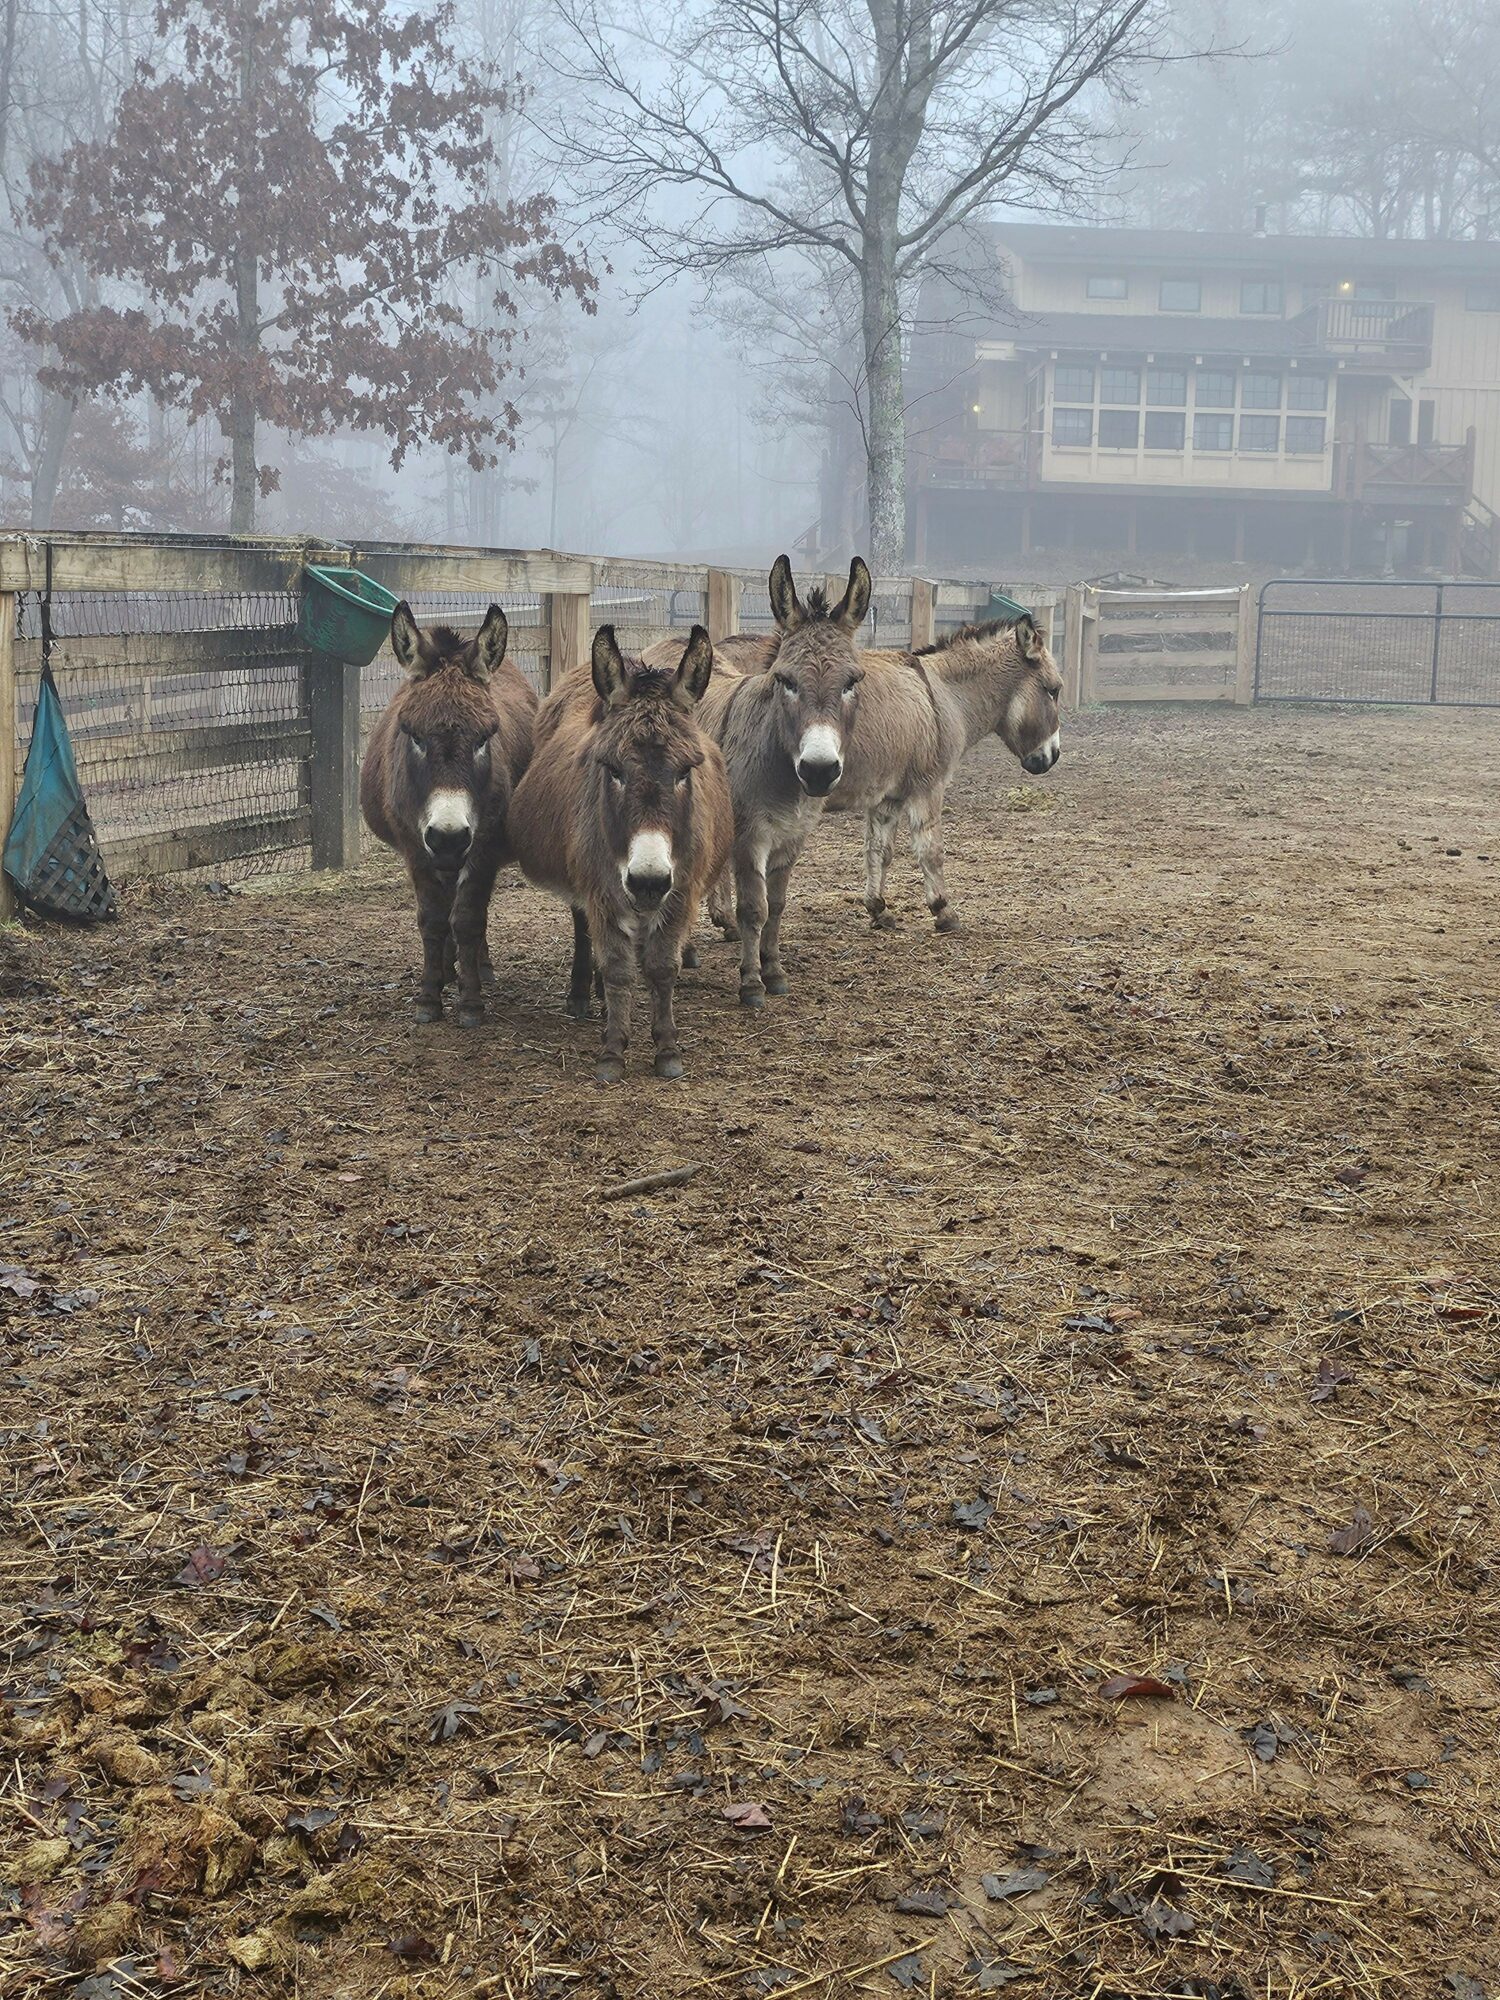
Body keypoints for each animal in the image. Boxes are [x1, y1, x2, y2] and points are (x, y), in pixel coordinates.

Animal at [360, 602, 536, 1026]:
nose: (449, 837)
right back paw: (446, 968)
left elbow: (469, 917)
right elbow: (432, 919)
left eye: (486, 737)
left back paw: (477, 970)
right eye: (413, 735)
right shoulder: (414, 845)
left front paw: (470, 1001)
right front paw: (429, 995)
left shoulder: (484, 844)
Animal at [507, 625, 732, 1083]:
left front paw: (666, 1048)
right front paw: (613, 1050)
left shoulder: (682, 890)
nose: (647, 881)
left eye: (687, 770)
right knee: (583, 928)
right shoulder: (601, 890)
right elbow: (616, 966)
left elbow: (662, 966)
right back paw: (583, 993)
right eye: (611, 769)